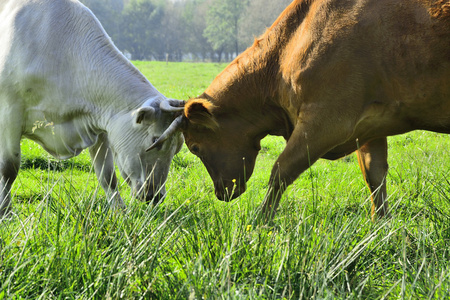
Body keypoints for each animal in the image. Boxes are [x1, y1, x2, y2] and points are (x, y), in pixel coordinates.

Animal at [0, 0, 185, 217]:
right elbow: (9, 168)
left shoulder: (100, 124)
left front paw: (119, 212)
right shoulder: (9, 114)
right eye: (155, 140)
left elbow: (107, 174)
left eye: (177, 148)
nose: (156, 196)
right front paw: (5, 212)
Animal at [150, 0, 450, 220]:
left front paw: (261, 219)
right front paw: (381, 224)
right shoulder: (370, 126)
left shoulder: (327, 119)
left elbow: (281, 170)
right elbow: (374, 174)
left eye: (194, 147)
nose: (221, 193)